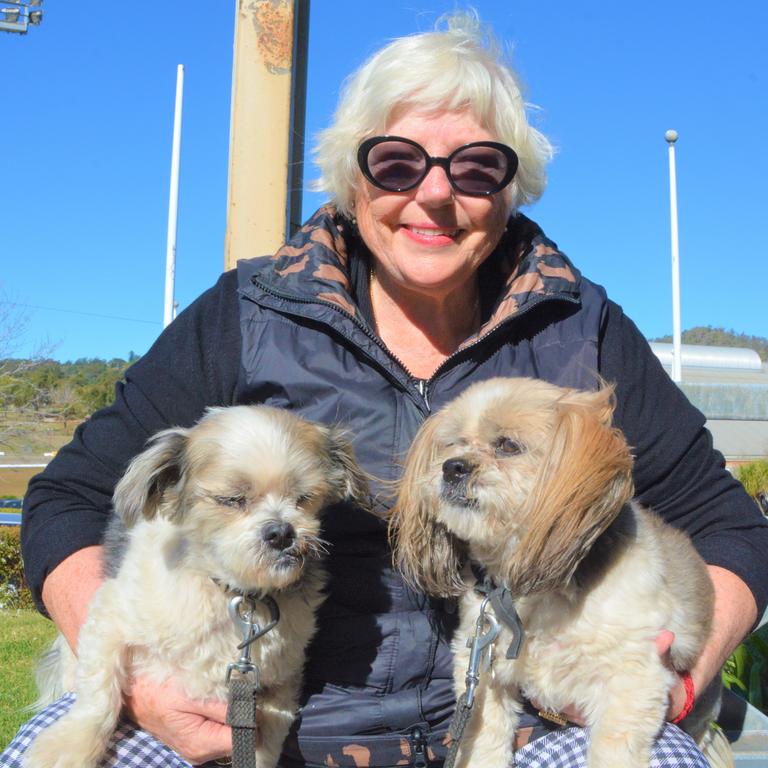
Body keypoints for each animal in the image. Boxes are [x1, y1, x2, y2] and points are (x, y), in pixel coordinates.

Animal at [25, 404, 368, 764]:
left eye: (303, 498)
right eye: (232, 499)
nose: (282, 532)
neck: (233, 592)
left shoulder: (279, 686)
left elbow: (267, 743)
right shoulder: (109, 619)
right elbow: (98, 694)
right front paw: (70, 747)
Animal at [390, 378, 728, 768]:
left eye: (508, 446)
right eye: (453, 444)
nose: (453, 466)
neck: (525, 593)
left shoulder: (630, 682)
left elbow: (613, 750)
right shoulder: (482, 672)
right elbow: (485, 742)